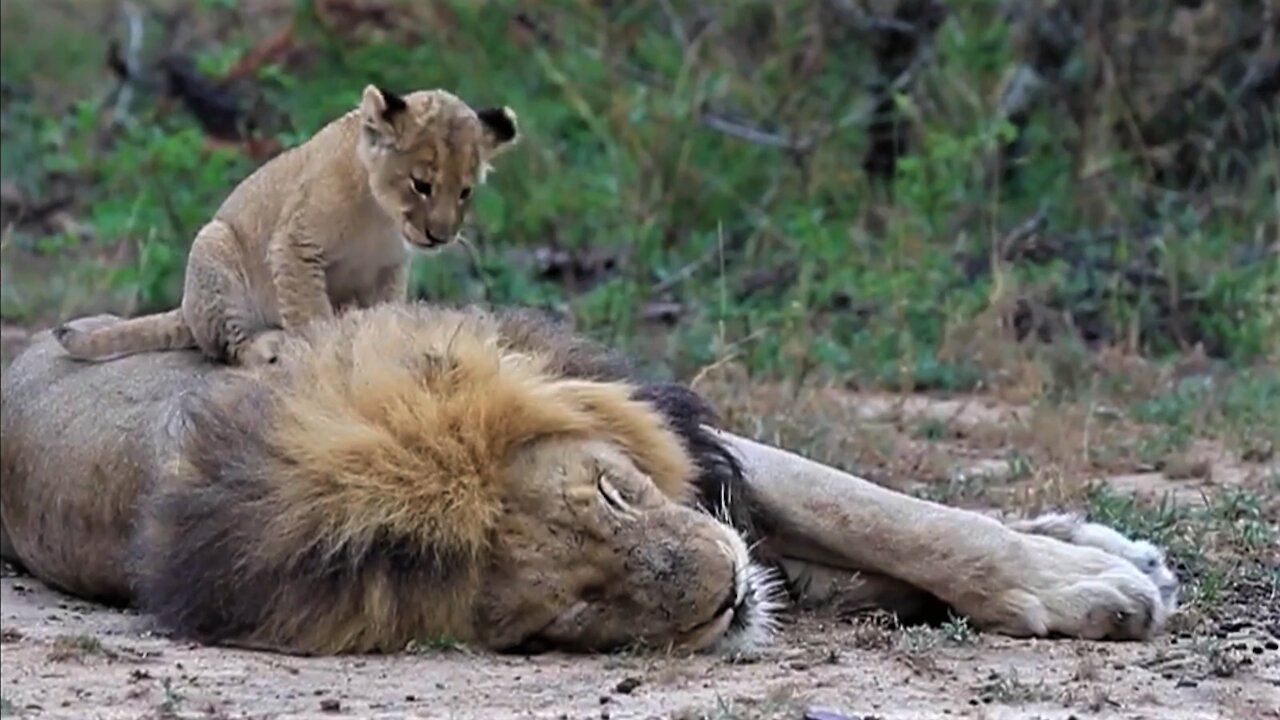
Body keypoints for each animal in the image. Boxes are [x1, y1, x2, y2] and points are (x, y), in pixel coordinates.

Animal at [2, 302, 1177, 655]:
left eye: (612, 490)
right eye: (567, 615)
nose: (727, 597)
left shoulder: (683, 433)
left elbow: (891, 514)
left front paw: (1078, 579)